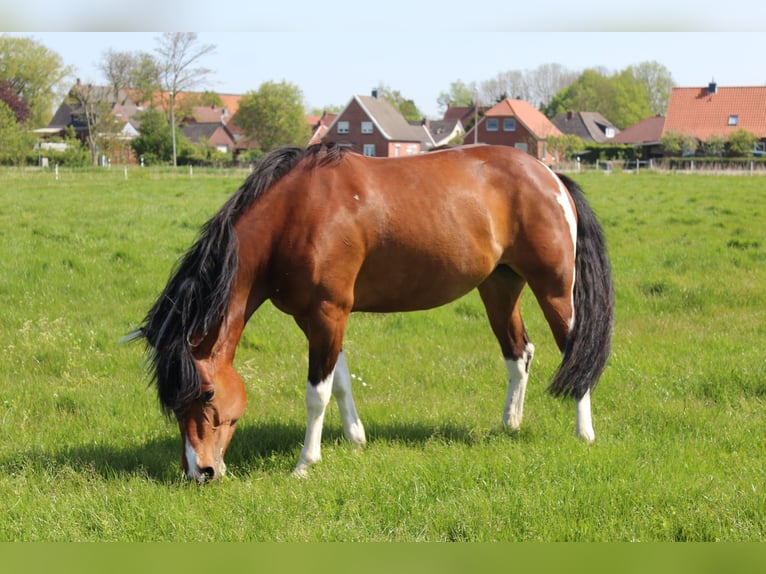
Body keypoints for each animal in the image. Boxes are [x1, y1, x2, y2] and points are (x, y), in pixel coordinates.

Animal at [129, 143, 616, 482]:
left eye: (207, 393)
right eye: (173, 402)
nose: (201, 471)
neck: (297, 213)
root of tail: (551, 176)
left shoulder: (328, 312)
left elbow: (317, 392)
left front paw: (305, 463)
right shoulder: (317, 318)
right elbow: (341, 382)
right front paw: (356, 440)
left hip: (555, 289)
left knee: (577, 355)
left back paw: (585, 434)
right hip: (499, 286)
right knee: (519, 354)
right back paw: (509, 425)